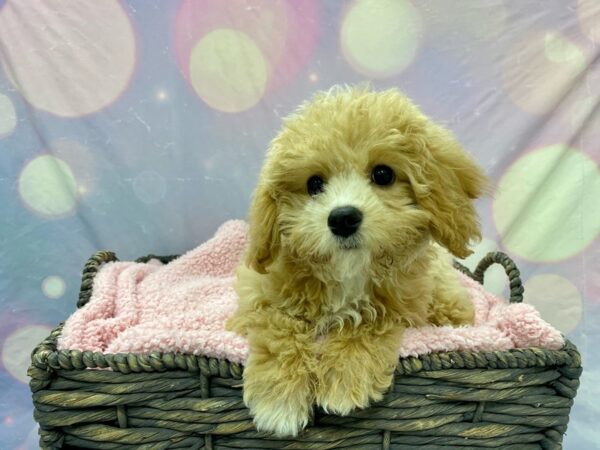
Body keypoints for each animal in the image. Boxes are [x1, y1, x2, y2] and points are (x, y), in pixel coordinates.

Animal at [225, 85, 488, 436]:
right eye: (314, 183)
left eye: (383, 174)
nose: (343, 218)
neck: (347, 274)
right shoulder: (258, 297)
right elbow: (279, 326)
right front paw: (278, 397)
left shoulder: (401, 304)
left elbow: (369, 323)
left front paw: (344, 377)